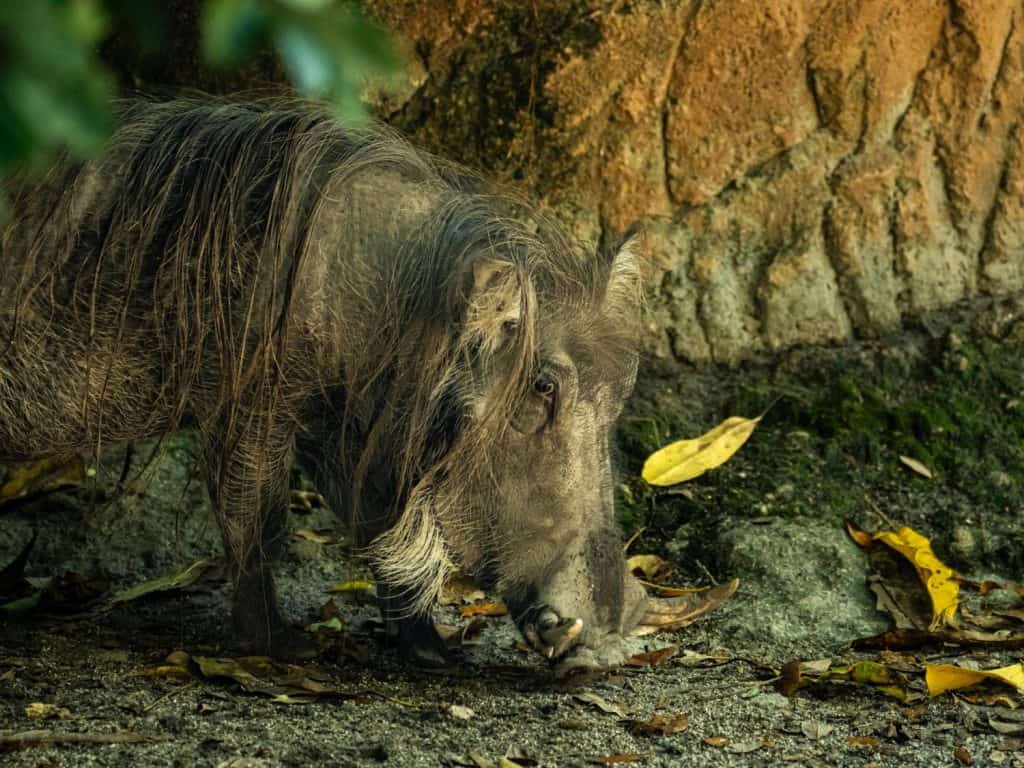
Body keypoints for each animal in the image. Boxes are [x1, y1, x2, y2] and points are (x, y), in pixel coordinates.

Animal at [0, 98, 648, 668]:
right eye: (542, 387)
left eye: (619, 396)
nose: (607, 642)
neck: (399, 300)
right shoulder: (256, 408)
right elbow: (258, 523)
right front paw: (280, 646)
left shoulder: (344, 425)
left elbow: (378, 525)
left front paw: (428, 651)